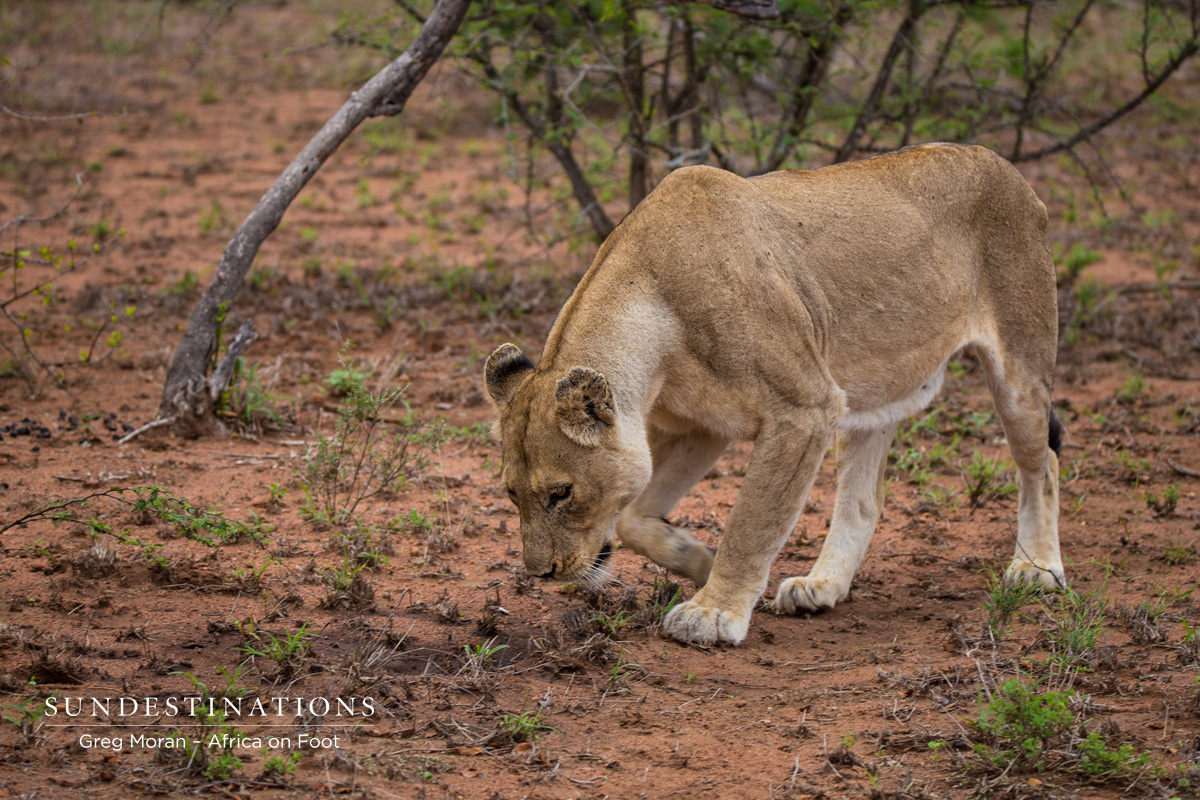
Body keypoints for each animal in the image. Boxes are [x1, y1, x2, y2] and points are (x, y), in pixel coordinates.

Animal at [484, 143, 1064, 646]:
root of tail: (1002, 163)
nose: (542, 573)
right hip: (872, 393)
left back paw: (1036, 567)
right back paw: (822, 587)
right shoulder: (702, 427)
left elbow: (752, 521)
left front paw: (713, 611)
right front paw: (698, 560)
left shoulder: (805, 409)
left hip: (1018, 369)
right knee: (864, 501)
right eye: (512, 494)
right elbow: (629, 520)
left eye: (561, 493)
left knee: (1044, 464)